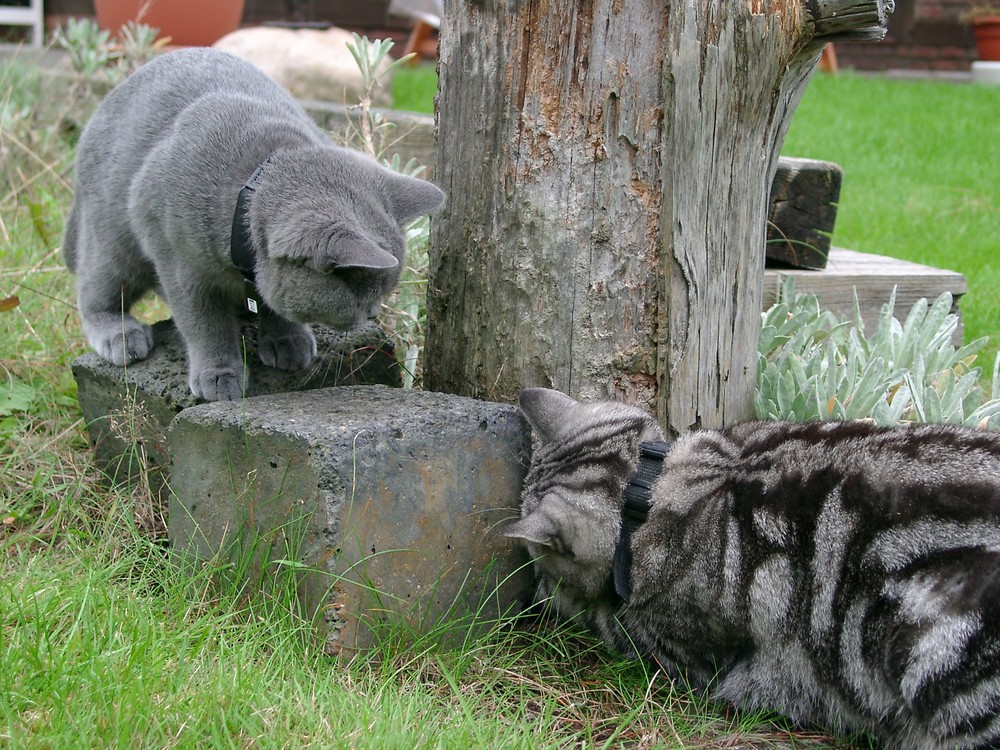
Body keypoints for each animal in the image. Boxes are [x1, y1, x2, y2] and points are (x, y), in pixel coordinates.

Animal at [59, 47, 442, 402]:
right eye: (363, 296)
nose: (375, 314)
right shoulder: (180, 265)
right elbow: (203, 321)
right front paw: (220, 373)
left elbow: (276, 302)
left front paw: (288, 339)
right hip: (114, 241)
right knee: (96, 289)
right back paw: (119, 334)